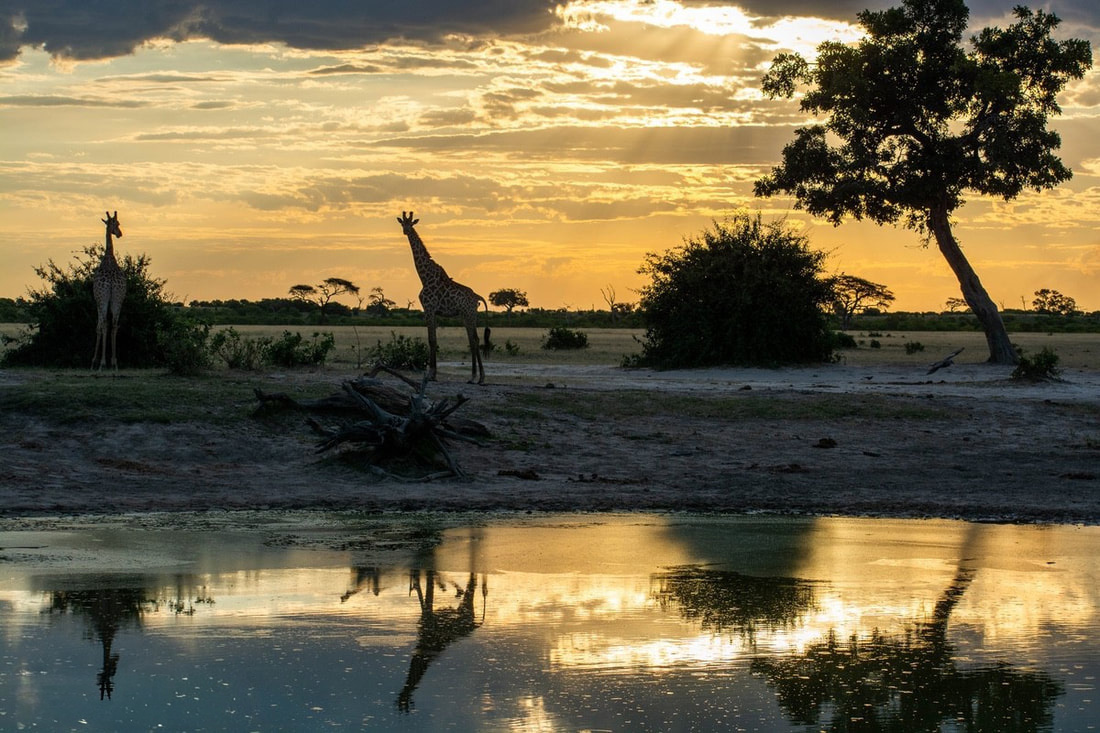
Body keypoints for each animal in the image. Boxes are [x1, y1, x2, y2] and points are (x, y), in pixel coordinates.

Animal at [397, 211, 490, 384]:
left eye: (411, 223)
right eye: (402, 223)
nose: (406, 231)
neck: (424, 277)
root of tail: (477, 297)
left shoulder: (429, 308)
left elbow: (431, 340)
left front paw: (431, 374)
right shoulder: (433, 311)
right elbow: (433, 340)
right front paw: (433, 374)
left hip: (468, 315)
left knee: (474, 340)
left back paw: (476, 376)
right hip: (468, 316)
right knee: (474, 340)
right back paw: (477, 377)